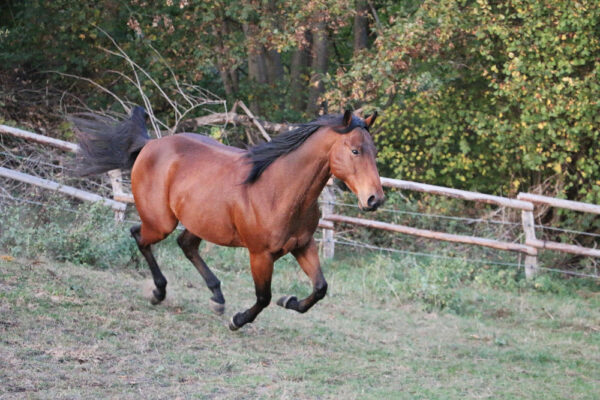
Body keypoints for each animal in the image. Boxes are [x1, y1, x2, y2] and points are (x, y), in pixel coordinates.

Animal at [76, 108, 384, 330]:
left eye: (375, 151)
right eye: (355, 150)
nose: (375, 199)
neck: (278, 190)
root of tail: (151, 144)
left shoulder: (302, 246)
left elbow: (320, 288)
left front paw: (290, 301)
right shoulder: (260, 254)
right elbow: (263, 297)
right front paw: (238, 320)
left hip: (200, 221)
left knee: (185, 244)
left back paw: (217, 298)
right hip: (161, 222)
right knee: (139, 236)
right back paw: (159, 292)